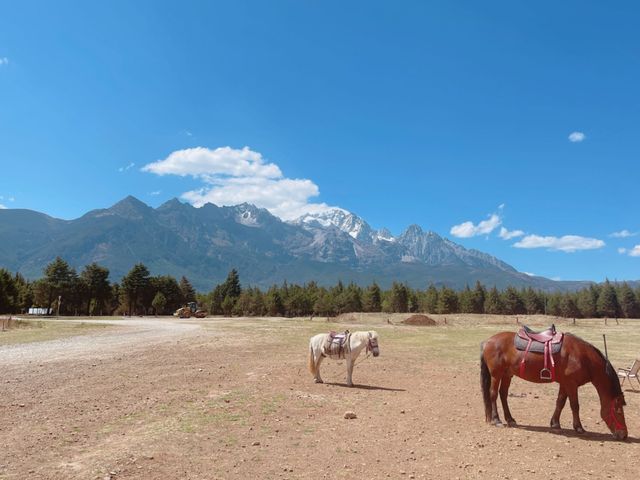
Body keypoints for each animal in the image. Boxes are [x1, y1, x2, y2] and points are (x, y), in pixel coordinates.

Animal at [480, 332, 624, 440]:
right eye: (618, 410)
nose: (624, 434)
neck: (583, 357)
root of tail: (488, 341)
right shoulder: (571, 384)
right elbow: (575, 405)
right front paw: (579, 427)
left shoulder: (565, 384)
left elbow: (560, 402)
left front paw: (555, 423)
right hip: (496, 375)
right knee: (493, 394)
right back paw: (496, 420)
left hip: (507, 375)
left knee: (503, 395)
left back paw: (510, 420)